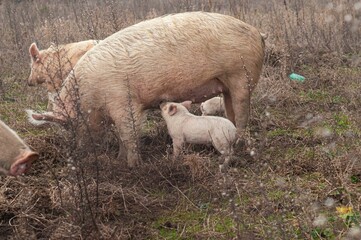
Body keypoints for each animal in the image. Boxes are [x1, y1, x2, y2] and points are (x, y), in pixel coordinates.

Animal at [28, 11, 264, 167]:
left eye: (69, 124)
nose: (77, 153)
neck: (90, 95)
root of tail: (257, 33)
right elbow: (123, 137)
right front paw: (119, 160)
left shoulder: (124, 102)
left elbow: (128, 134)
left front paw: (132, 166)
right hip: (227, 86)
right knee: (231, 111)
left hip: (241, 77)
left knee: (242, 114)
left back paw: (241, 142)